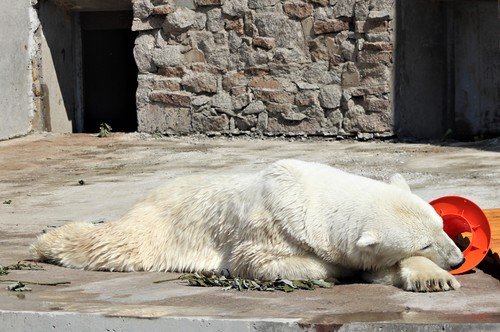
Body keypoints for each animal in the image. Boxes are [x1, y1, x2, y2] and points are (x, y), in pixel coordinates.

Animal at [31, 160, 462, 292]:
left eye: (441, 226)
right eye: (425, 243)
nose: (458, 259)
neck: (311, 194)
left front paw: (433, 279)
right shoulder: (267, 228)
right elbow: (258, 261)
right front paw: (336, 269)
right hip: (161, 223)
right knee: (117, 243)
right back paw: (45, 243)